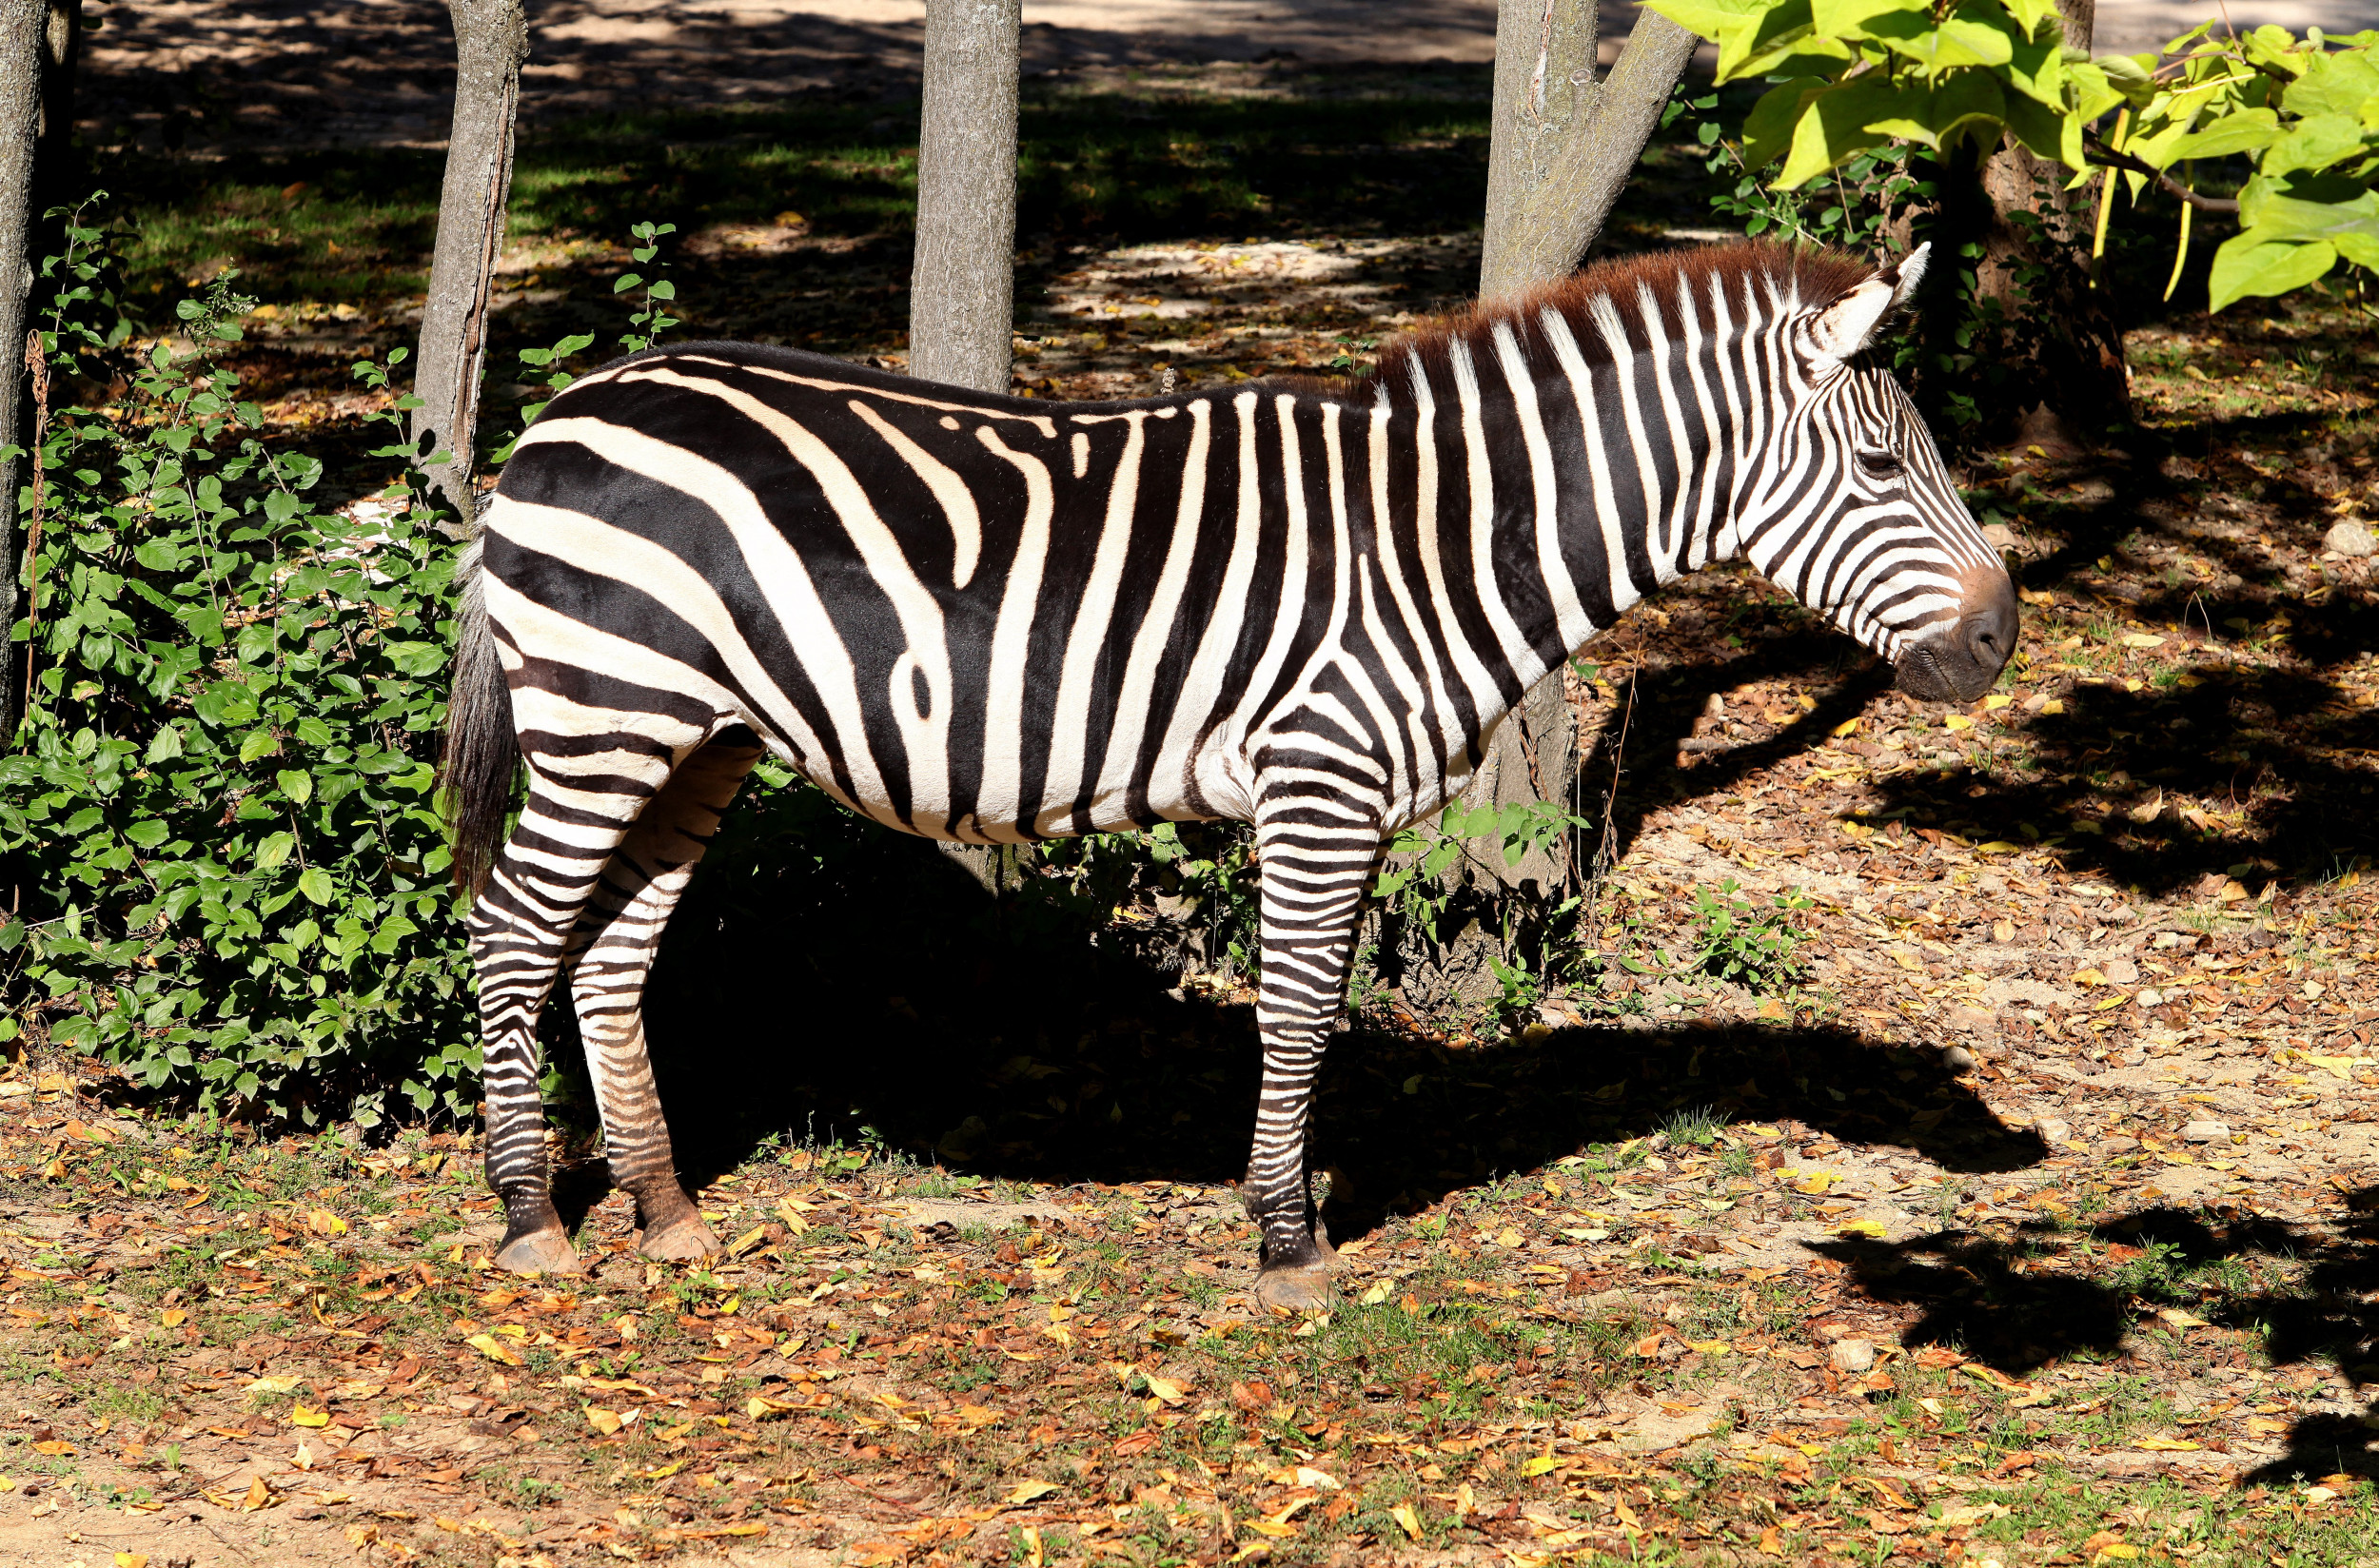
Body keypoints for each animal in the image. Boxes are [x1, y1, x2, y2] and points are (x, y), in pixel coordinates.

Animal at [442, 236, 2008, 1313]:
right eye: (1883, 466)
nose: (2001, 639)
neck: (1432, 547)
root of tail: (566, 407)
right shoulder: (1318, 781)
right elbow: (1301, 1016)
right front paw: (1289, 1243)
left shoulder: (1356, 802)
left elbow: (1315, 1014)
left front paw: (1290, 1207)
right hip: (602, 712)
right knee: (511, 934)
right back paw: (531, 1220)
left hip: (695, 737)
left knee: (608, 954)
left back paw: (662, 1209)